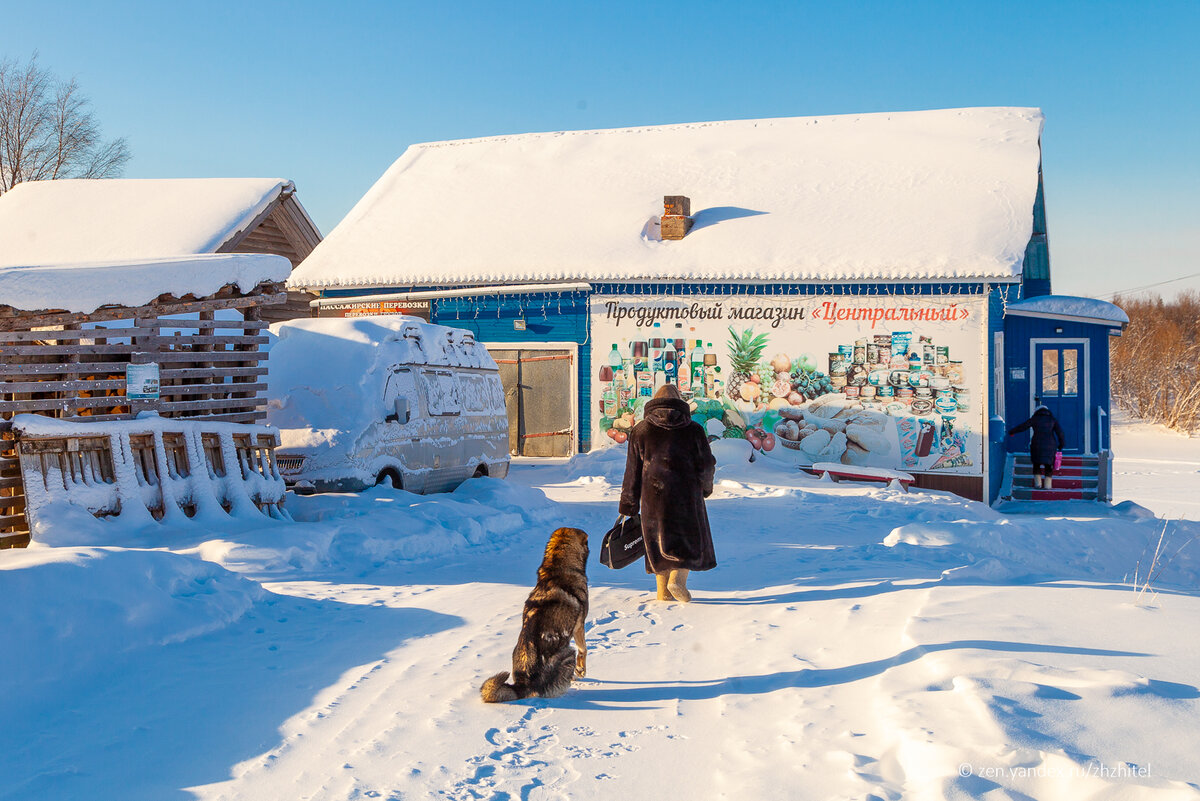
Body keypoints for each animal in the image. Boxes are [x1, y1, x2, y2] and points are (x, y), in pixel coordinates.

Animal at [477, 527, 590, 705]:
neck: (556, 569)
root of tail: (522, 684)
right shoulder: (579, 626)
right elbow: (583, 649)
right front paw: (581, 670)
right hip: (567, 653)